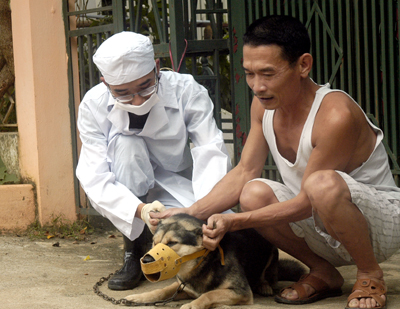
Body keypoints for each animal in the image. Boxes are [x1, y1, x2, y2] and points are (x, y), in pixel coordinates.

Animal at [125, 213, 304, 306]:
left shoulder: (241, 292)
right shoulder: (184, 288)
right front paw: (139, 298)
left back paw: (264, 286)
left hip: (271, 251)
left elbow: (209, 295)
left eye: (172, 243)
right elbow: (162, 290)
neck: (204, 263)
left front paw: (192, 305)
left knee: (267, 276)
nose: (146, 261)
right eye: (154, 242)